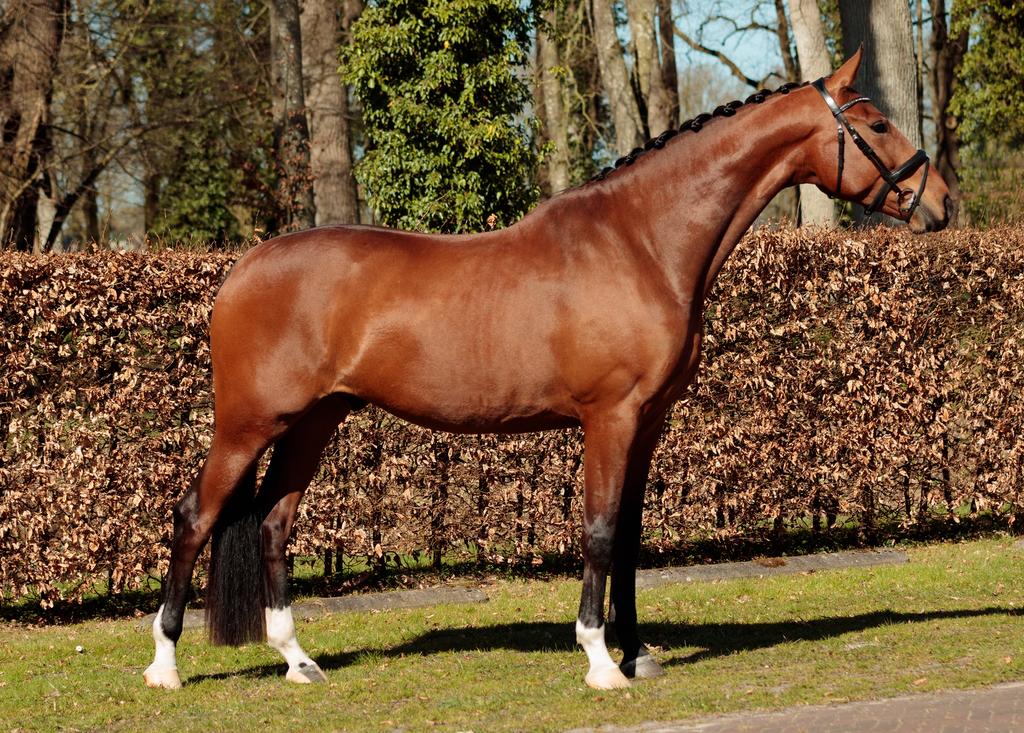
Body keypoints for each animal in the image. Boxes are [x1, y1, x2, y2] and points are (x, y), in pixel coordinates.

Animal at [143, 49, 951, 691]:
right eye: (878, 124)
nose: (940, 202)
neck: (640, 241)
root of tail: (240, 270)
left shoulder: (648, 422)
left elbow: (628, 535)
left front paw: (638, 651)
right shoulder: (609, 417)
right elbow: (597, 529)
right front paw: (599, 661)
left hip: (314, 421)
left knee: (273, 524)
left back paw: (298, 660)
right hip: (248, 423)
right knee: (193, 518)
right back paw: (166, 665)